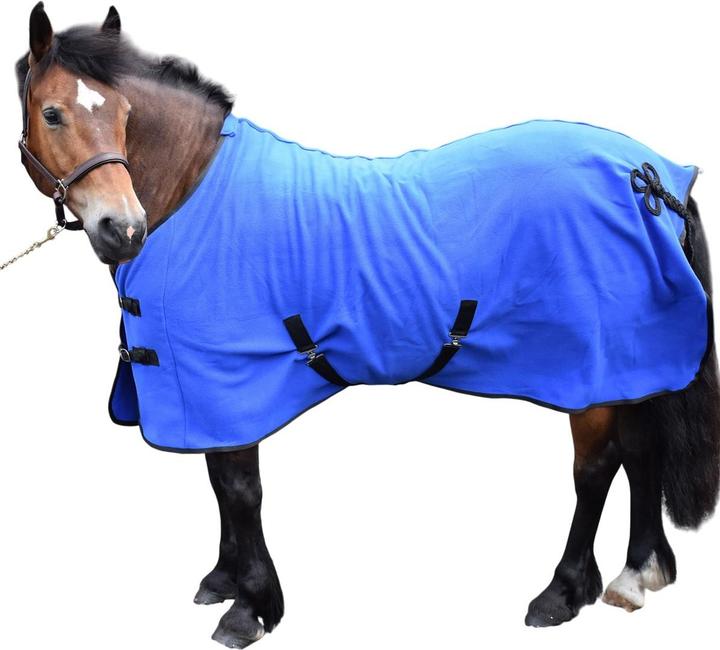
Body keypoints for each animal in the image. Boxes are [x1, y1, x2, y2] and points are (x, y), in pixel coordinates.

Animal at [14, 3, 720, 647]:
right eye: (53, 114)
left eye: (124, 115)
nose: (122, 229)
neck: (195, 193)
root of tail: (651, 178)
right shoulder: (204, 392)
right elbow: (216, 480)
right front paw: (224, 579)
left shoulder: (226, 380)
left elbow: (238, 487)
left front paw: (252, 607)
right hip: (635, 362)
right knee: (642, 449)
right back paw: (638, 574)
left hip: (592, 368)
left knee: (596, 467)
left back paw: (564, 590)